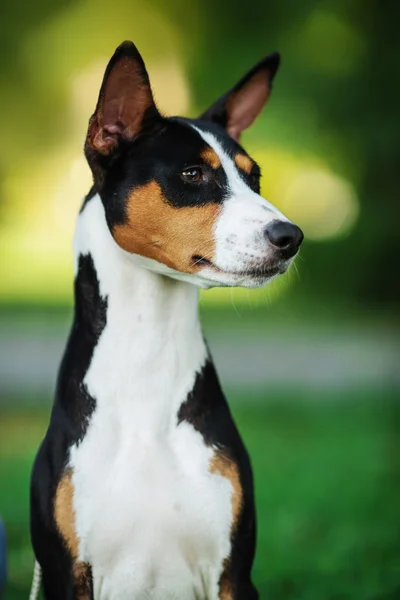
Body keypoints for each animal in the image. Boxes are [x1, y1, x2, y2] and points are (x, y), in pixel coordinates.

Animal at [29, 39, 304, 596]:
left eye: (254, 177)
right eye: (193, 174)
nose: (290, 236)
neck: (146, 358)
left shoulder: (233, 574)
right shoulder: (66, 574)